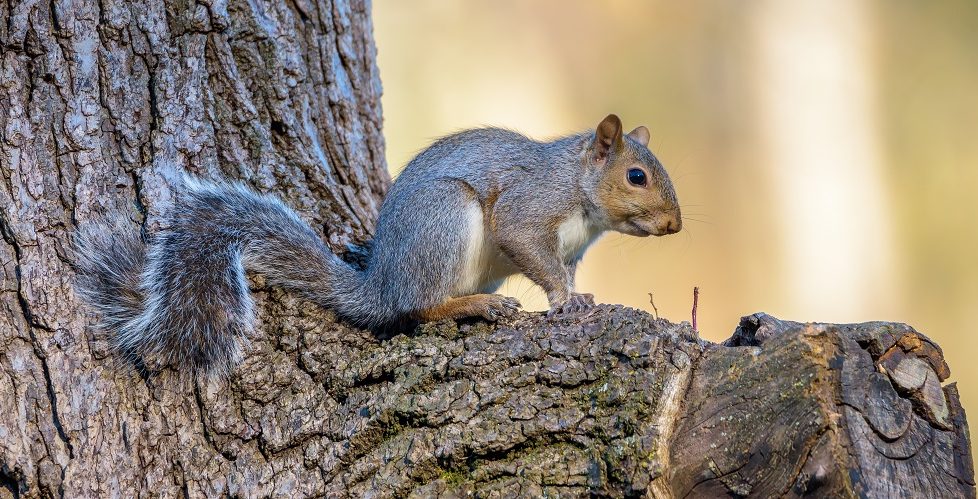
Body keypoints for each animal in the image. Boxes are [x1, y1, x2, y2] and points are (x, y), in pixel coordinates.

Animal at [74, 113, 680, 372]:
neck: (579, 188)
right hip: (444, 221)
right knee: (417, 308)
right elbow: (529, 245)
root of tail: (382, 284)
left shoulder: (571, 249)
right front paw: (567, 303)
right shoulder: (529, 207)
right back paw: (473, 305)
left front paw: (576, 298)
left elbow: (564, 272)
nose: (675, 226)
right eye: (636, 177)